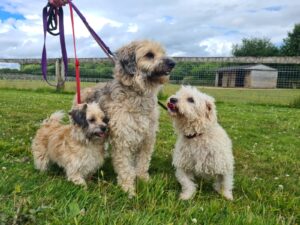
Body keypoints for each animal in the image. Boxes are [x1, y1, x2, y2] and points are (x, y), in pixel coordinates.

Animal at [74, 40, 176, 195]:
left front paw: (144, 180)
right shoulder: (123, 139)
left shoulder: (147, 138)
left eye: (163, 53)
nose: (173, 63)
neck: (139, 94)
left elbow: (143, 163)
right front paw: (128, 188)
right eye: (149, 54)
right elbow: (125, 167)